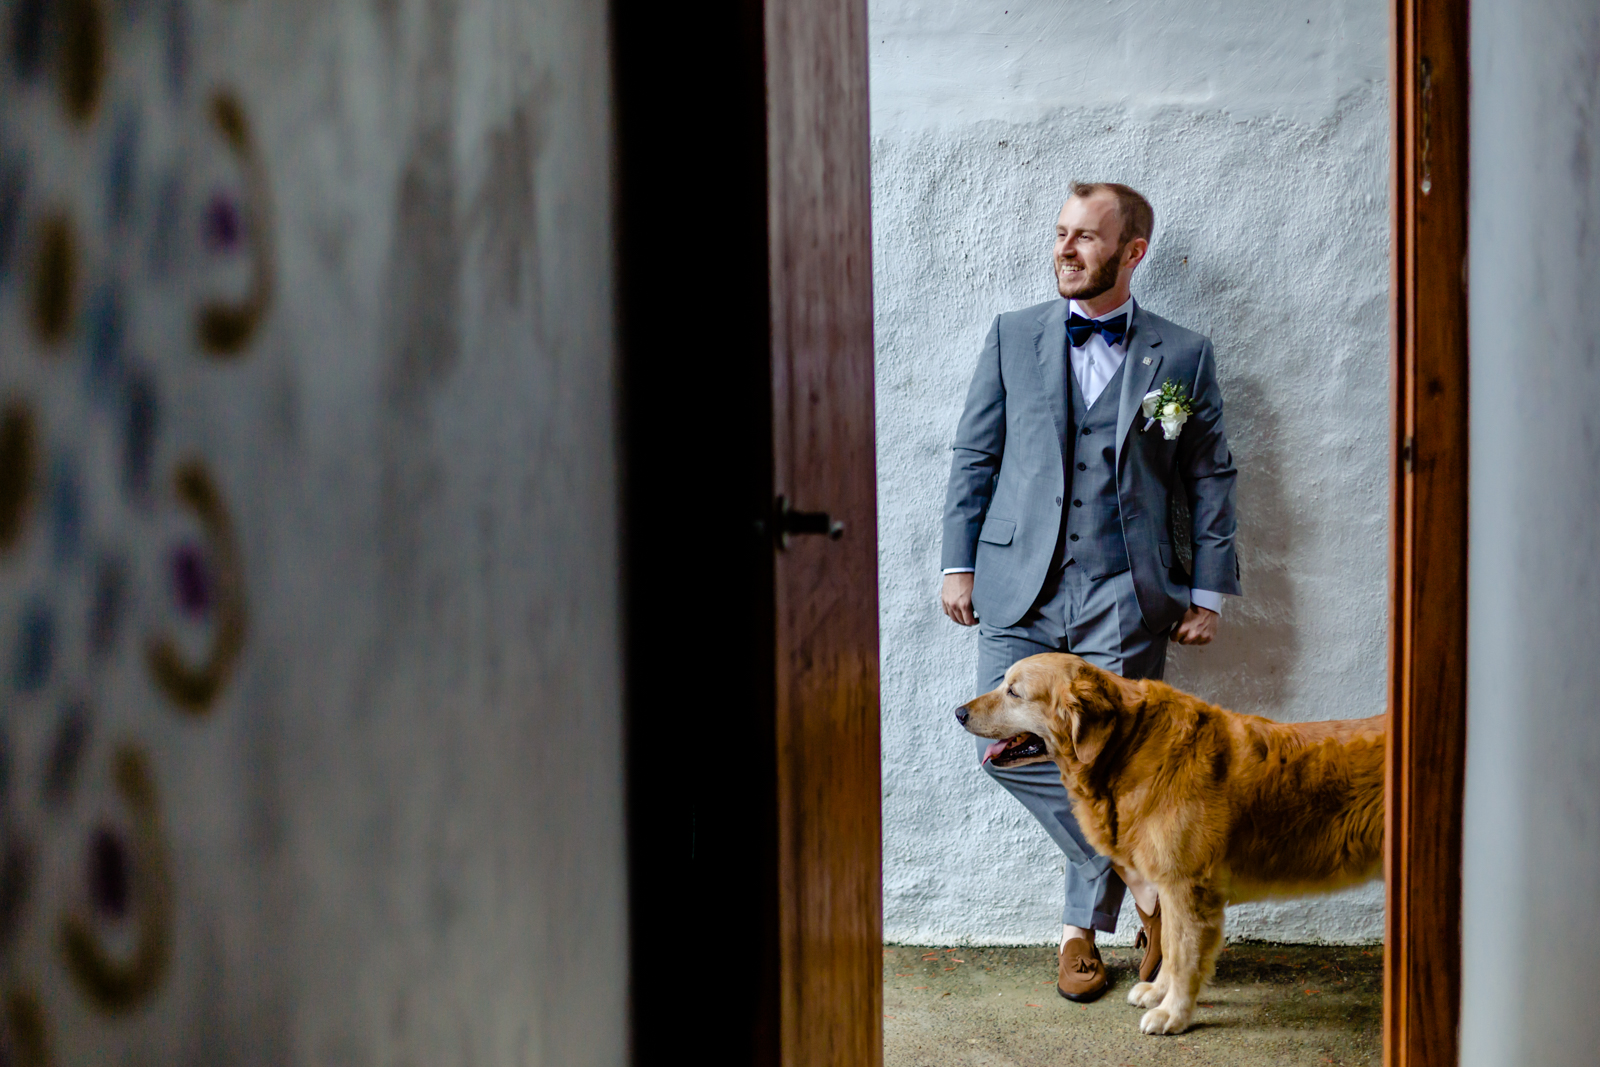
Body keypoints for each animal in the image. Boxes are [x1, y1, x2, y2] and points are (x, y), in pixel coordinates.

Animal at [953, 652, 1382, 1036]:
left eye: (1014, 691)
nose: (958, 712)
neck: (1129, 748)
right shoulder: (1173, 887)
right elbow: (1171, 947)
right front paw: (1159, 994)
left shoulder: (1187, 887)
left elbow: (1183, 958)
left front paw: (1173, 1015)